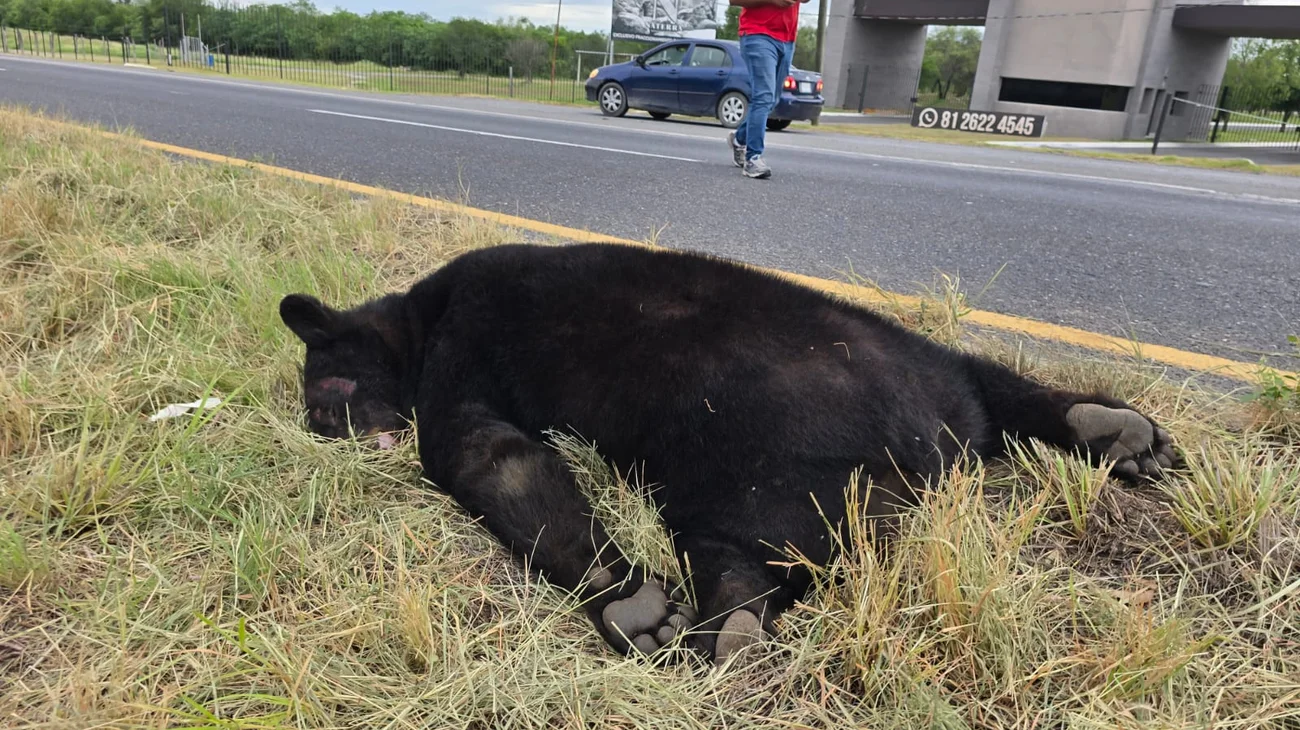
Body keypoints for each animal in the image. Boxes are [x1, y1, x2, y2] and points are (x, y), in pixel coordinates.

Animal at [278, 242, 1178, 666]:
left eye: (328, 387)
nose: (318, 427)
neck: (417, 319)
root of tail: (929, 447)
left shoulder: (460, 363)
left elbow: (488, 460)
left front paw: (626, 596)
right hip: (919, 375)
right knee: (997, 386)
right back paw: (1117, 432)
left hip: (733, 471)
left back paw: (687, 620)